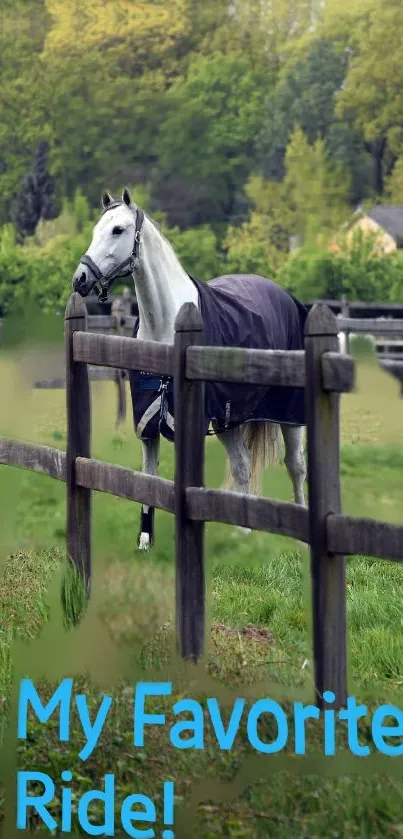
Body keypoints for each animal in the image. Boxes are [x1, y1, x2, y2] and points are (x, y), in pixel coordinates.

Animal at [72, 189, 306, 552]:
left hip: (289, 413)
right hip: (228, 419)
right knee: (242, 465)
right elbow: (148, 477)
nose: (80, 280)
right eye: (97, 229)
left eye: (118, 230)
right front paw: (145, 539)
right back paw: (243, 532)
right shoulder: (148, 422)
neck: (165, 326)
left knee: (295, 465)